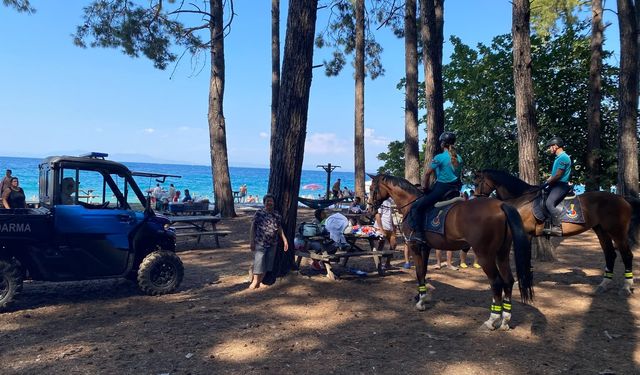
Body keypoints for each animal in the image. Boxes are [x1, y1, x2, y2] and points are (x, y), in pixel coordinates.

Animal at [368, 175, 532, 330]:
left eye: (371, 189)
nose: (369, 210)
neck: (411, 205)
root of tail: (500, 205)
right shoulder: (425, 248)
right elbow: (424, 271)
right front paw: (421, 295)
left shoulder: (415, 246)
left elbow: (419, 272)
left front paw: (421, 301)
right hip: (501, 254)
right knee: (508, 281)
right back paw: (505, 320)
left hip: (485, 255)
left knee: (496, 283)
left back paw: (492, 320)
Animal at [472, 170, 636, 296]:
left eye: (476, 183)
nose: (476, 200)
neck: (523, 200)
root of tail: (621, 198)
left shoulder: (526, 234)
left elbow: (526, 258)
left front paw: (524, 280)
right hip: (601, 230)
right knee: (610, 254)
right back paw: (603, 285)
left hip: (617, 232)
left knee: (627, 255)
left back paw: (626, 287)